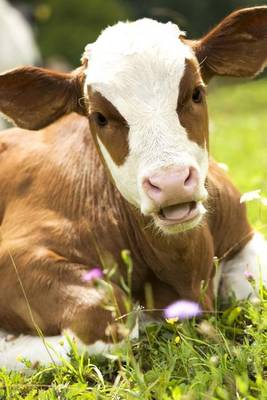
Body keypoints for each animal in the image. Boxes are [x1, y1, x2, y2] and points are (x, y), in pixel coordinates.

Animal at [0, 6, 267, 368]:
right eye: (100, 117)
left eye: (196, 92)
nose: (171, 182)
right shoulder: (15, 253)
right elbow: (107, 322)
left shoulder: (243, 232)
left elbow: (249, 284)